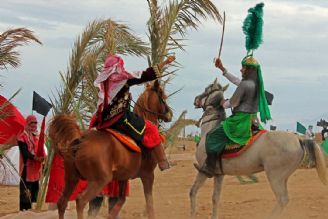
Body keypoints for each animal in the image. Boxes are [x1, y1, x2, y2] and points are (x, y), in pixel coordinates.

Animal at [48, 80, 172, 219]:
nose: (169, 114)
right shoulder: (148, 175)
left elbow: (121, 200)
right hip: (99, 181)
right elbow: (150, 205)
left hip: (72, 178)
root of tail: (80, 140)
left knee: (62, 202)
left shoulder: (123, 177)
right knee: (81, 201)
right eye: (163, 96)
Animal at [190, 78, 328, 219]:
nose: (195, 100)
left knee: (282, 199)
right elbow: (215, 198)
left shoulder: (203, 170)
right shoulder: (219, 174)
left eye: (207, 88)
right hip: (283, 177)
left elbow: (193, 191)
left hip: (275, 176)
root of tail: (299, 139)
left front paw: (193, 213)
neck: (209, 129)